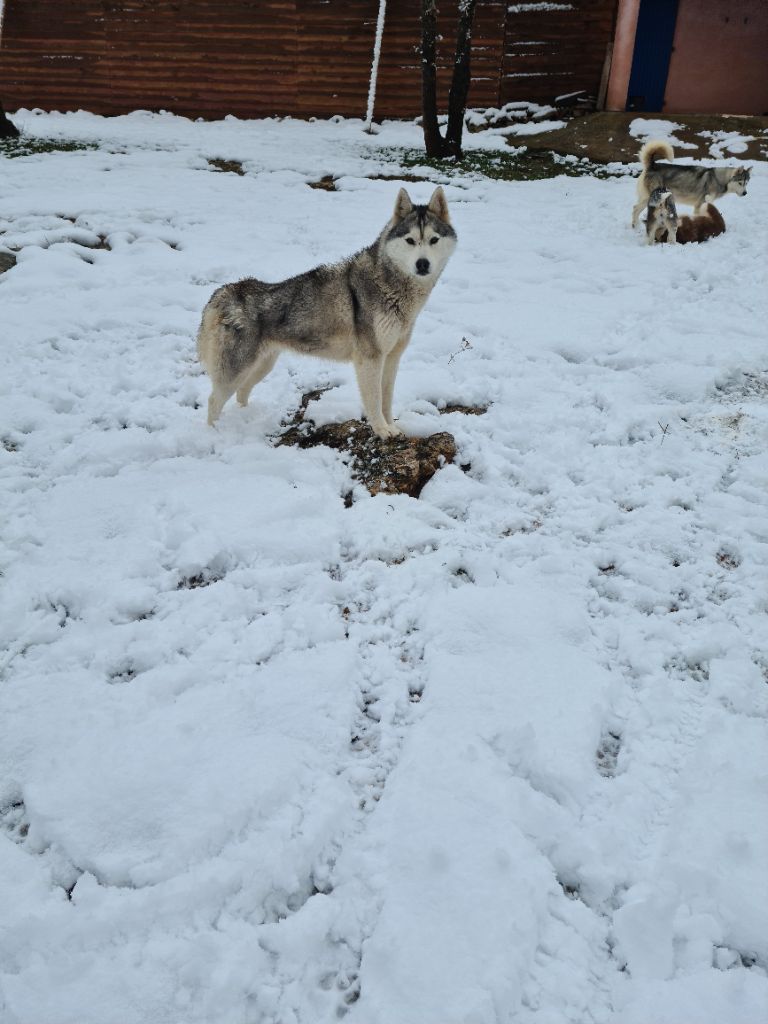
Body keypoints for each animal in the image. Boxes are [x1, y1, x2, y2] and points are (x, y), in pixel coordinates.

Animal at [198, 188, 456, 440]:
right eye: (410, 240)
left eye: (433, 240)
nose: (422, 264)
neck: (391, 287)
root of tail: (225, 291)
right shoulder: (370, 358)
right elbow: (374, 401)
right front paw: (382, 431)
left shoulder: (392, 357)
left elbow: (387, 400)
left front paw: (392, 427)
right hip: (235, 371)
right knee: (213, 401)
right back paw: (214, 434)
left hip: (262, 365)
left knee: (242, 392)